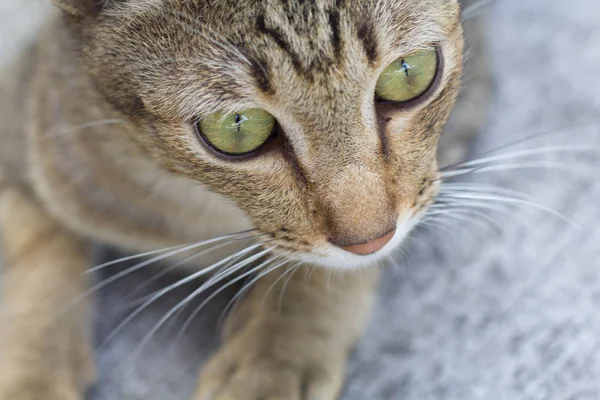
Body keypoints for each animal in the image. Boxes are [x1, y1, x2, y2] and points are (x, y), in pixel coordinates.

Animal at [0, 0, 488, 400]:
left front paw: (271, 360)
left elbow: (321, 270)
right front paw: (33, 377)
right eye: (237, 127)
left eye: (409, 72)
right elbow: (45, 255)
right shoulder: (31, 120)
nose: (371, 239)